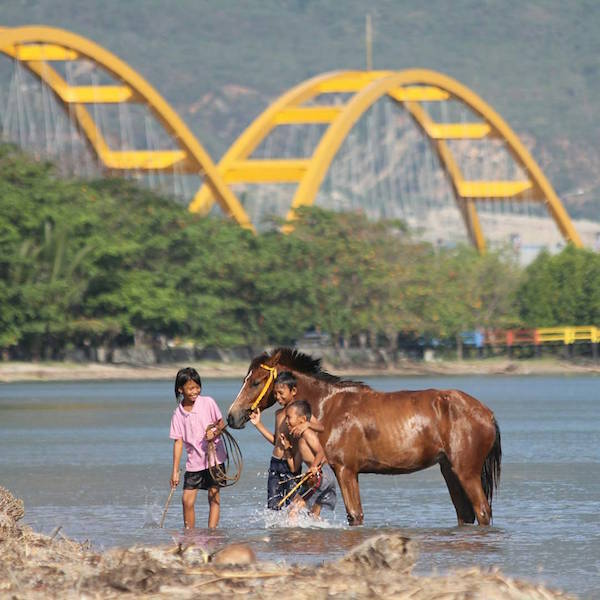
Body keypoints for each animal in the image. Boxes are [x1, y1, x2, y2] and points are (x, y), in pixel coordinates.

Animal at [227, 346, 500, 524]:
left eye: (256, 381)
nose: (232, 416)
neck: (329, 406)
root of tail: (486, 412)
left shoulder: (345, 470)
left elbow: (355, 515)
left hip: (466, 472)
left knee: (482, 511)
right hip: (449, 470)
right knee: (465, 514)